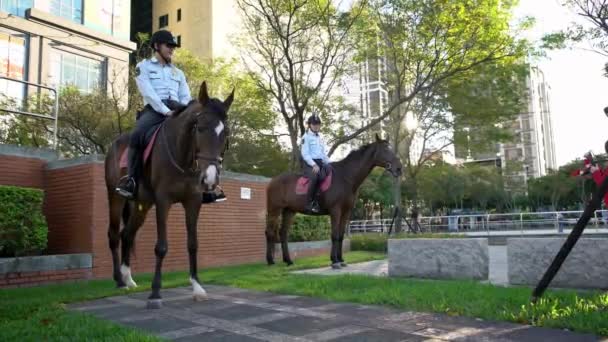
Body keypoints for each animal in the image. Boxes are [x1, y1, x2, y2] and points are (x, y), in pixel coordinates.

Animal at [104, 81, 233, 308]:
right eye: (200, 128)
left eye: (224, 132)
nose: (209, 179)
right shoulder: (163, 201)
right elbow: (161, 247)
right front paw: (155, 292)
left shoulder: (193, 202)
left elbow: (193, 244)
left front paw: (197, 287)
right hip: (116, 198)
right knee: (114, 235)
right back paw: (119, 281)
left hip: (142, 205)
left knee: (127, 234)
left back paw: (128, 278)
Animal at [268, 135, 404, 268]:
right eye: (385, 149)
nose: (399, 168)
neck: (345, 177)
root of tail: (273, 181)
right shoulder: (335, 211)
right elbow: (334, 235)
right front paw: (334, 261)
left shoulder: (346, 212)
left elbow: (340, 235)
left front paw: (341, 259)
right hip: (274, 210)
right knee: (269, 232)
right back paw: (270, 261)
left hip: (289, 211)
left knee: (283, 234)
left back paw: (288, 261)